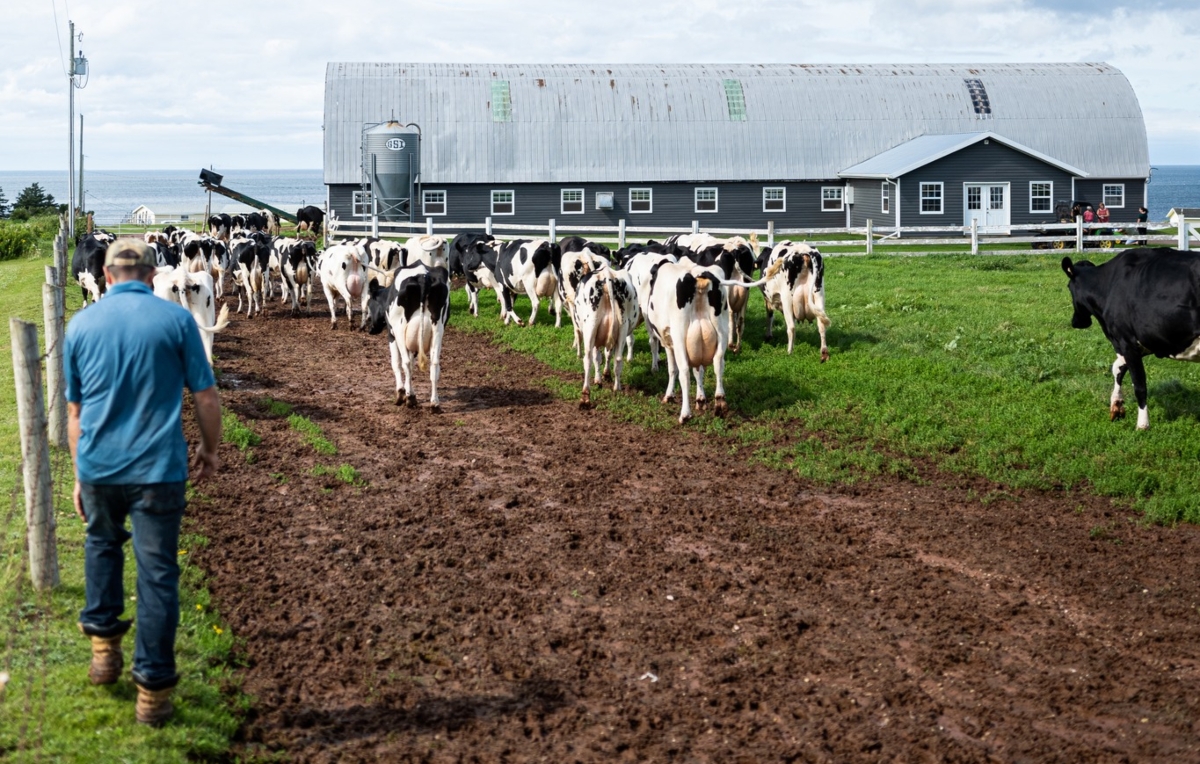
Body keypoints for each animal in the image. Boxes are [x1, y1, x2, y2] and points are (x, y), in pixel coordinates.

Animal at [364, 262, 451, 407]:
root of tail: (423, 277)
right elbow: (412, 363)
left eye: (369, 304)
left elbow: (396, 363)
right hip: (438, 330)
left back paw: (409, 398)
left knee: (405, 362)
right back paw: (434, 403)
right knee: (434, 363)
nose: (371, 330)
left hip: (400, 330)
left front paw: (402, 393)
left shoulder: (392, 335)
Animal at [1065, 250, 1200, 429]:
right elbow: (1118, 368)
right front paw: (1116, 405)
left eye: (1068, 287)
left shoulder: (1127, 340)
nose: (1076, 322)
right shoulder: (1149, 341)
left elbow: (1139, 384)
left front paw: (1142, 424)